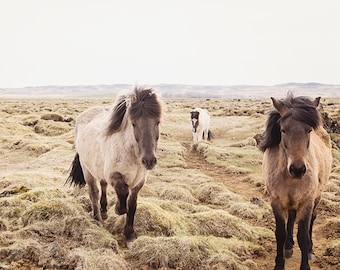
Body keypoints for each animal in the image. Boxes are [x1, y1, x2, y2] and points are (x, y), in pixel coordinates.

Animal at [67, 86, 163, 245]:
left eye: (157, 122)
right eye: (133, 123)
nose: (149, 161)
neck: (132, 155)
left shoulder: (139, 182)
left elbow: (132, 206)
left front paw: (129, 235)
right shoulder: (115, 176)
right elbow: (123, 195)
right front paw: (118, 209)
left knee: (103, 186)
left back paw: (104, 210)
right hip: (87, 169)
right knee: (94, 192)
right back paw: (98, 219)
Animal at [258, 93, 330, 270]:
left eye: (309, 130)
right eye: (283, 130)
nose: (298, 169)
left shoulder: (306, 202)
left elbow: (303, 236)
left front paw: (305, 263)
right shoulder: (276, 202)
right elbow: (280, 233)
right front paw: (279, 263)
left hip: (317, 198)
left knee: (312, 219)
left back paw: (310, 250)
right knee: (291, 218)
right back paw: (289, 246)